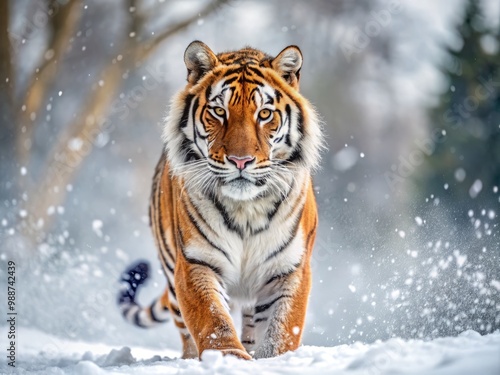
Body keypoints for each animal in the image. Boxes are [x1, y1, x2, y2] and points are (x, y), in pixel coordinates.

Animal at [117, 41, 324, 362]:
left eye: (264, 114)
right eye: (218, 111)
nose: (241, 160)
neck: (247, 208)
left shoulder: (289, 268)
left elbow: (283, 329)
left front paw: (273, 360)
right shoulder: (196, 262)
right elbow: (212, 318)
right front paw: (229, 359)